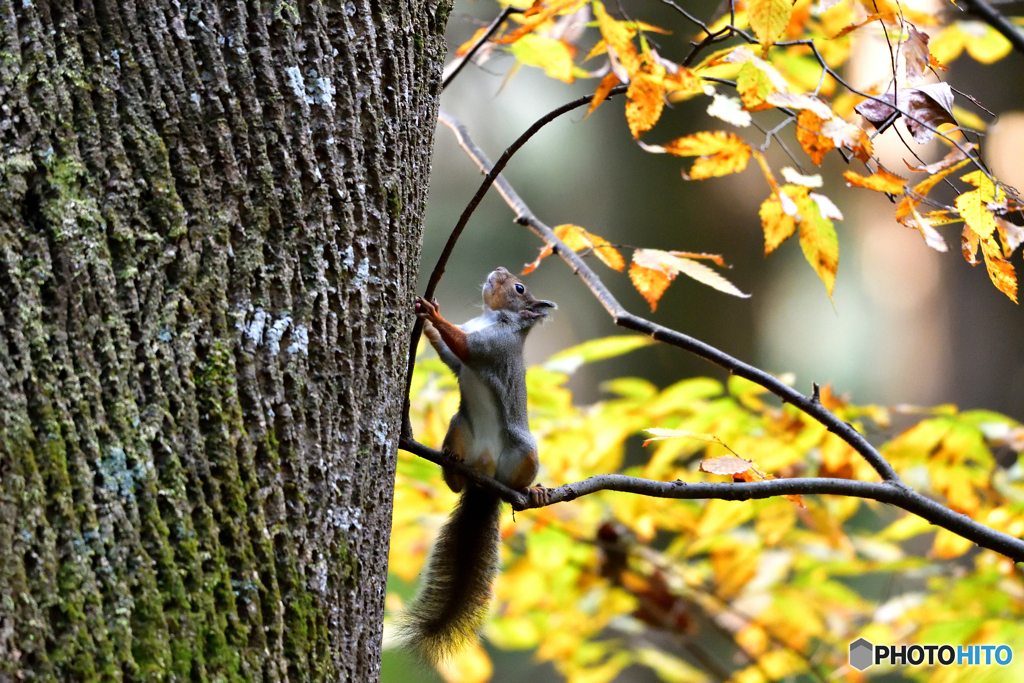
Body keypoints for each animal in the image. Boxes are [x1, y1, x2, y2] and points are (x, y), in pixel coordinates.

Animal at [399, 268, 557, 667]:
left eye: (519, 287)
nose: (498, 271)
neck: (490, 318)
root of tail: (485, 483)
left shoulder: (490, 348)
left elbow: (464, 347)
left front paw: (433, 314)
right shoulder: (464, 359)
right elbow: (451, 357)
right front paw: (428, 322)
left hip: (523, 452)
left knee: (518, 480)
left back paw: (529, 490)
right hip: (458, 427)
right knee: (456, 482)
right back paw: (454, 467)